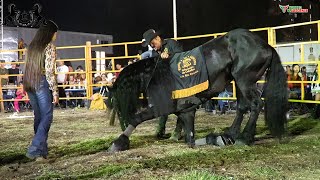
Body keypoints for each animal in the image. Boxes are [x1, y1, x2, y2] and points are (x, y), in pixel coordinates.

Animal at [109, 28, 288, 152]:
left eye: (117, 97)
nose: (119, 119)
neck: (157, 74)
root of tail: (266, 46)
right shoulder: (184, 111)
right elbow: (187, 134)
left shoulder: (173, 109)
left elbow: (139, 118)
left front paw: (119, 142)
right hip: (239, 82)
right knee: (242, 107)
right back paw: (231, 133)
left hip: (245, 81)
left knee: (256, 105)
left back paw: (244, 138)